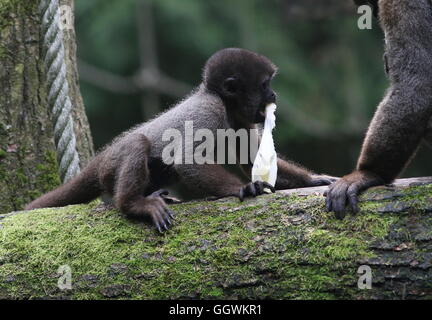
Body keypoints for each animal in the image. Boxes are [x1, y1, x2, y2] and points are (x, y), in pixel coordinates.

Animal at [27, 47, 336, 231]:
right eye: (264, 85)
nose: (274, 95)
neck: (223, 101)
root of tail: (103, 154)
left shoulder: (244, 120)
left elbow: (251, 161)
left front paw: (313, 179)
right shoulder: (209, 111)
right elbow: (188, 161)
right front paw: (245, 188)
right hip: (110, 166)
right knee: (138, 144)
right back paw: (133, 203)